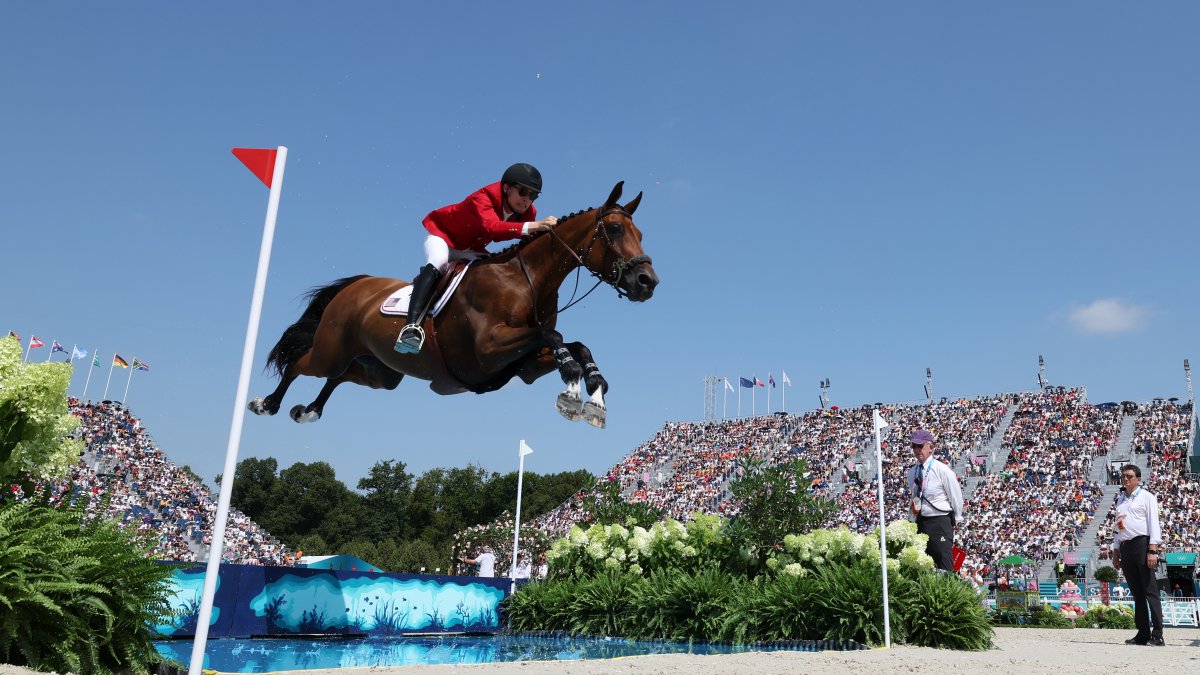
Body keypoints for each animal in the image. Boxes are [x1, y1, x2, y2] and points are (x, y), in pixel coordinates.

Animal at [243, 181, 657, 427]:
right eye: (615, 230)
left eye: (639, 232)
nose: (648, 282)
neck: (527, 281)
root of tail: (356, 286)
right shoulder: (488, 348)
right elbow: (553, 335)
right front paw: (572, 390)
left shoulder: (521, 366)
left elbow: (576, 344)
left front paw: (595, 394)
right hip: (331, 349)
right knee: (301, 363)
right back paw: (267, 404)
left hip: (382, 373)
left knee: (341, 375)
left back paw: (310, 410)